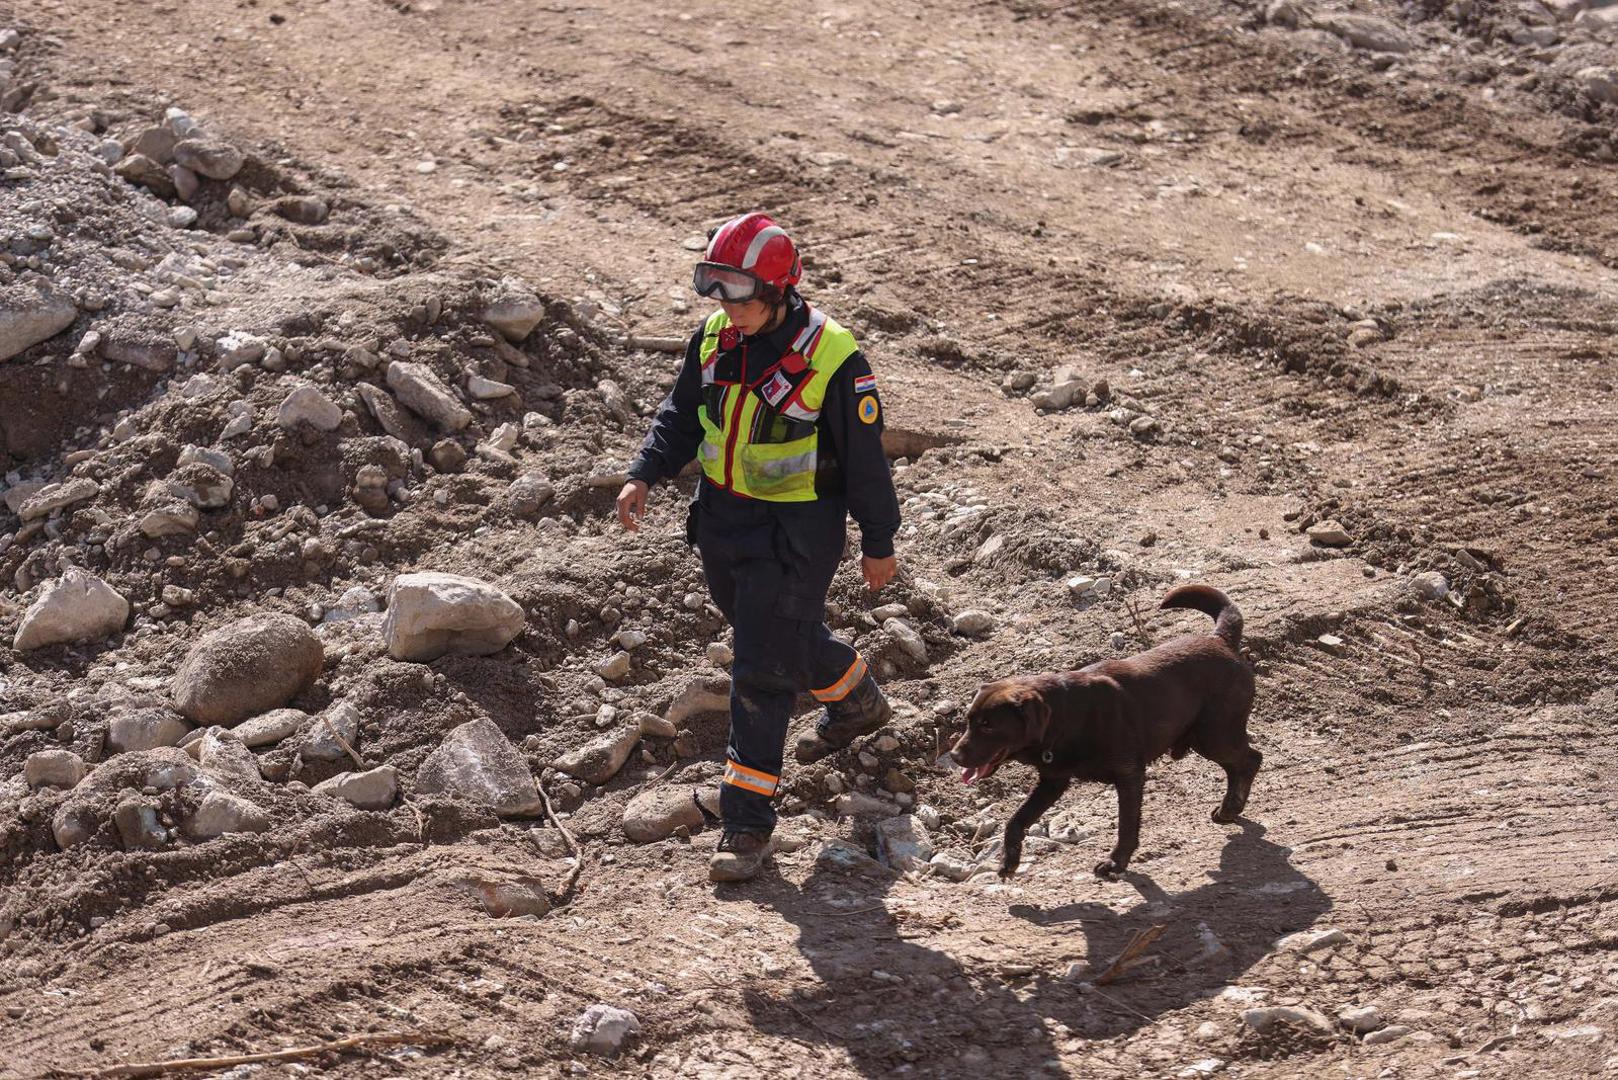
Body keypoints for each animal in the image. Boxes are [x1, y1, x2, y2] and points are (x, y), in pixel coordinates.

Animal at [951, 586, 1255, 880]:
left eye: (987, 724)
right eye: (968, 721)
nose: (954, 756)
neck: (1065, 719)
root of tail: (1221, 640)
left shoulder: (1129, 775)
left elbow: (1126, 825)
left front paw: (1115, 863)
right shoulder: (1052, 781)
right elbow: (1016, 820)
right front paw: (1009, 859)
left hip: (1214, 736)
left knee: (1251, 760)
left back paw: (1231, 807)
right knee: (1238, 765)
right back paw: (1229, 809)